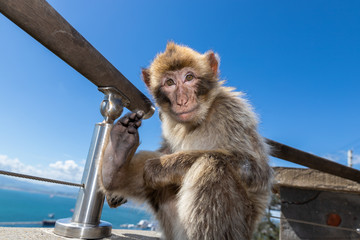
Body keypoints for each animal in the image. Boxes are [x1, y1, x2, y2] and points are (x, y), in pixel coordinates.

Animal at [98, 42, 272, 239]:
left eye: (189, 77)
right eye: (170, 82)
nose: (182, 100)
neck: (199, 120)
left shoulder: (232, 112)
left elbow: (257, 170)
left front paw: (161, 167)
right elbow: (165, 150)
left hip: (239, 226)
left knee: (212, 165)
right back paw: (116, 162)